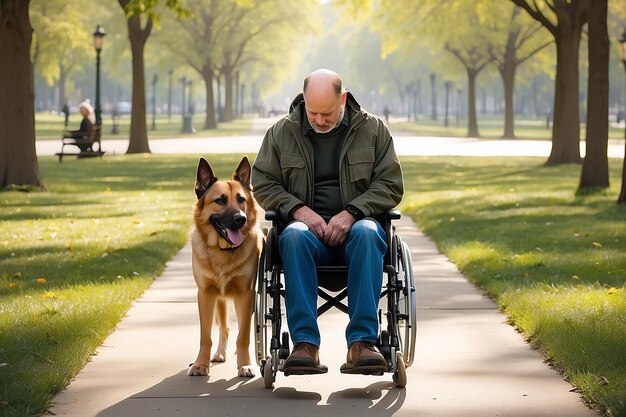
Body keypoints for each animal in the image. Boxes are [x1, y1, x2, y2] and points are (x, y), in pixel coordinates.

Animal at [188, 156, 260, 376]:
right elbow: (205, 336)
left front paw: (245, 364)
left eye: (241, 199)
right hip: (219, 299)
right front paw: (200, 364)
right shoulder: (205, 295)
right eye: (220, 200)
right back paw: (220, 353)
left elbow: (244, 335)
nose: (240, 219)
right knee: (224, 328)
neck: (223, 250)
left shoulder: (246, 295)